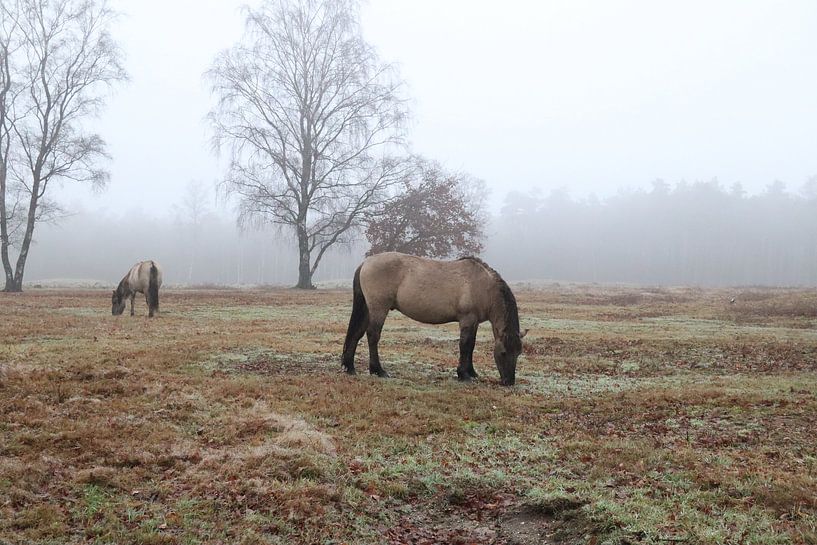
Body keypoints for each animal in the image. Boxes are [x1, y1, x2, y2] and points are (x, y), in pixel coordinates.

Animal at [341, 252, 526, 386]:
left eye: (518, 352)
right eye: (503, 352)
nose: (509, 382)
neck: (483, 286)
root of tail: (366, 263)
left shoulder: (474, 323)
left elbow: (471, 346)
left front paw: (472, 373)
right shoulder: (467, 320)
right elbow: (465, 346)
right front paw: (463, 375)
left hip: (367, 309)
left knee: (356, 333)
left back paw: (349, 367)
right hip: (379, 308)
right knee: (372, 336)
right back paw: (378, 371)